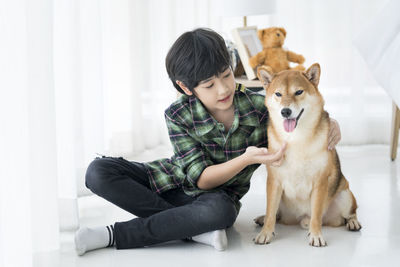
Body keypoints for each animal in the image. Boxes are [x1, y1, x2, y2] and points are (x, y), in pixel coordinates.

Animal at [255, 62, 360, 247]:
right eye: (278, 94)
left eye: (298, 92)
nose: (285, 111)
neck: (296, 139)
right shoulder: (274, 181)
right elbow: (270, 211)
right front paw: (265, 233)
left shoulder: (320, 182)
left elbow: (316, 215)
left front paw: (316, 235)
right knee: (276, 214)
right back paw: (263, 218)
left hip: (345, 196)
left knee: (351, 212)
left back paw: (353, 222)